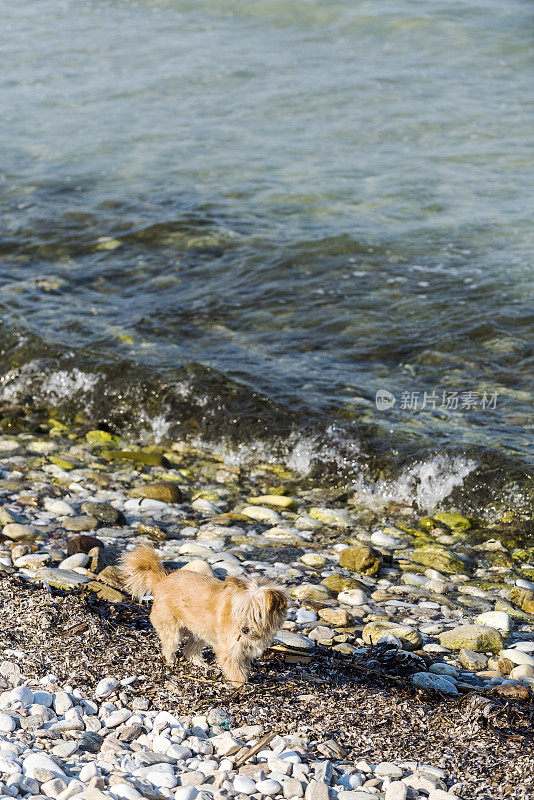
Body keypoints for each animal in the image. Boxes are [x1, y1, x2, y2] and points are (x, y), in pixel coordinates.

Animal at [120, 548, 288, 684]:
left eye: (257, 614)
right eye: (241, 610)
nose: (244, 629)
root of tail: (162, 580)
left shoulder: (244, 652)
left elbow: (243, 667)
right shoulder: (229, 650)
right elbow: (236, 672)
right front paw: (241, 685)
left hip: (200, 630)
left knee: (190, 649)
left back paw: (199, 663)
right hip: (172, 628)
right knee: (169, 646)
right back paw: (171, 662)